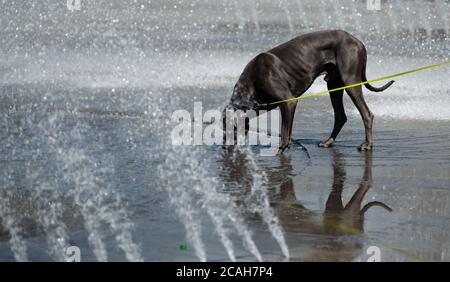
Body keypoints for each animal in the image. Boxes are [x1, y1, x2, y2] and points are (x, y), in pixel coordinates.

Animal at [225, 29, 394, 153]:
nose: (225, 148)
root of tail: (358, 41)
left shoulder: (288, 102)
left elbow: (284, 135)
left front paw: (280, 153)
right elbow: (287, 132)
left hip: (350, 80)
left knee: (366, 113)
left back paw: (367, 145)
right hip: (334, 84)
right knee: (340, 116)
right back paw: (328, 142)